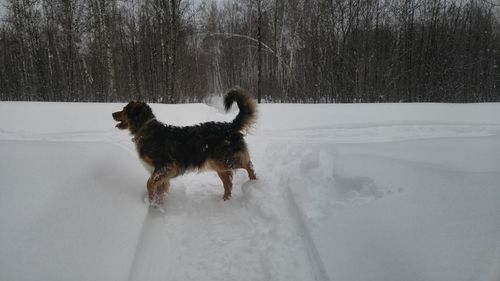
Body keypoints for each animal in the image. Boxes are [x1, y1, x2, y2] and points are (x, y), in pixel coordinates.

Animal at [112, 88, 256, 203]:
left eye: (124, 109)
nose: (112, 114)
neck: (145, 128)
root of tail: (230, 126)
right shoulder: (162, 173)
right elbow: (159, 188)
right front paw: (157, 204)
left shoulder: (166, 165)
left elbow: (149, 183)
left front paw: (151, 201)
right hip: (219, 164)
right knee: (228, 183)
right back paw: (224, 200)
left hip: (227, 159)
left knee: (248, 165)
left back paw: (253, 182)